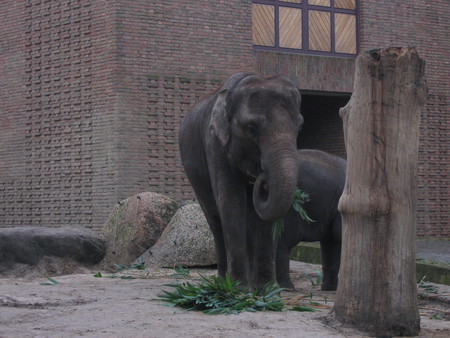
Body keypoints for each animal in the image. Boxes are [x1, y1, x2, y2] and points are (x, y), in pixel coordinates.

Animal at [178, 72, 302, 290]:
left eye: (300, 126)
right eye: (251, 129)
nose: (262, 178)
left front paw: (268, 290)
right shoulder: (215, 144)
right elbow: (231, 201)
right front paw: (239, 290)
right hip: (195, 177)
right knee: (215, 219)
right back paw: (222, 282)